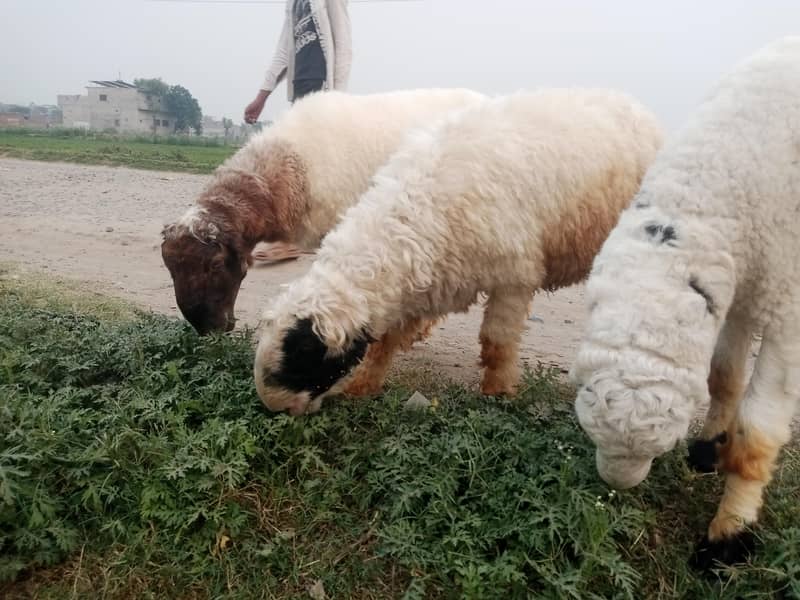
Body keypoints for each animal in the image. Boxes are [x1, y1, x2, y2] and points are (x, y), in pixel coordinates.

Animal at [253, 88, 663, 417]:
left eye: (302, 358)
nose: (278, 409)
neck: (417, 208)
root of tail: (632, 103)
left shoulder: (515, 277)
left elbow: (497, 343)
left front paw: (497, 393)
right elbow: (383, 343)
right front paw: (363, 385)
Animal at [571, 37, 800, 569]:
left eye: (663, 444)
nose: (619, 484)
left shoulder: (786, 298)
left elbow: (759, 429)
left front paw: (728, 537)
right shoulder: (741, 281)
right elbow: (724, 375)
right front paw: (708, 450)